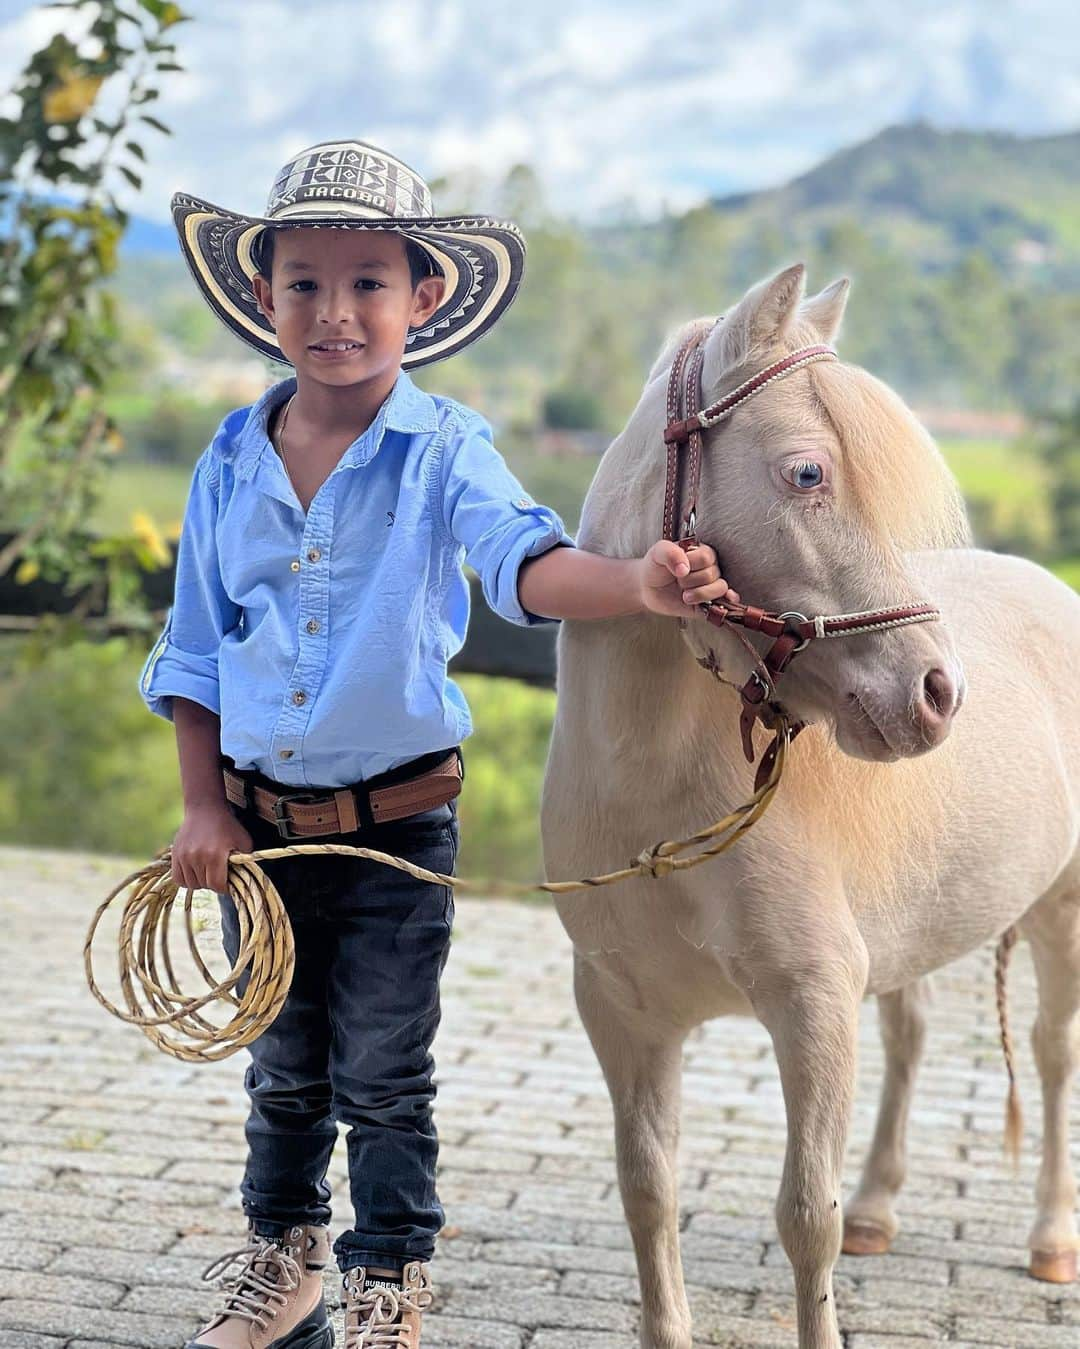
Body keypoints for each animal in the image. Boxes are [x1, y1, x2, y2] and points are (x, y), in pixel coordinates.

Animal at [539, 257, 1078, 1343]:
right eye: (807, 475)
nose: (937, 691)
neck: (662, 802)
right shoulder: (623, 1014)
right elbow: (647, 1191)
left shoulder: (812, 1007)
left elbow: (803, 1216)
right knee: (913, 1036)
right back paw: (881, 1206)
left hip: (1059, 908)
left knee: (1050, 1054)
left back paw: (1049, 1236)